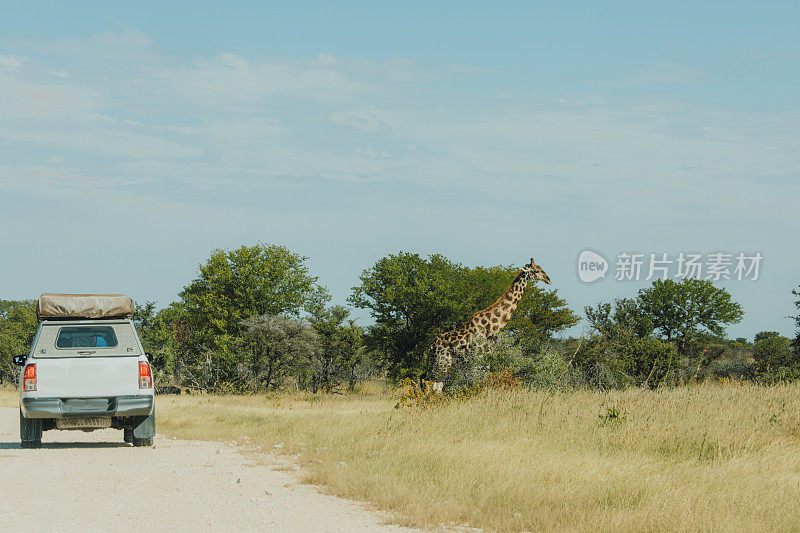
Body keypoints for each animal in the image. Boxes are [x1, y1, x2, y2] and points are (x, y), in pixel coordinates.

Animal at [424, 258, 552, 390]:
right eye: (536, 270)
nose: (548, 279)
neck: (493, 327)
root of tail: (431, 347)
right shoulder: (480, 360)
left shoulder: (483, 360)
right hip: (443, 363)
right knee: (428, 383)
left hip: (440, 364)